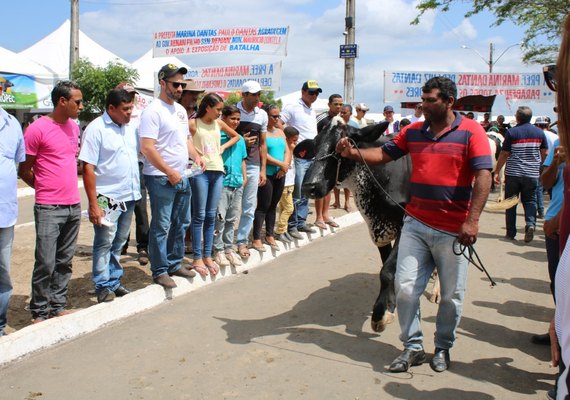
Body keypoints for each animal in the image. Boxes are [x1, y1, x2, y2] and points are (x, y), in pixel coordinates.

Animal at [300, 118, 410, 332]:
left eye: (342, 146)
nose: (310, 186)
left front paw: (379, 314)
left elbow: (387, 270)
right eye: (315, 146)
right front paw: (389, 307)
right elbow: (387, 266)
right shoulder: (378, 228)